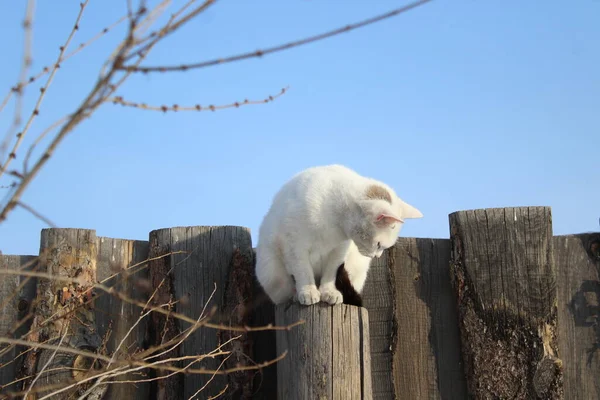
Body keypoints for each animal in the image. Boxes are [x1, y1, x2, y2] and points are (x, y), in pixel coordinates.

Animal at [253, 166, 422, 306]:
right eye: (379, 245)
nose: (377, 256)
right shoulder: (295, 246)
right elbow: (303, 272)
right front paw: (308, 291)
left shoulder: (339, 251)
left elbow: (330, 274)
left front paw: (328, 293)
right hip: (272, 271)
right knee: (285, 292)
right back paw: (295, 296)